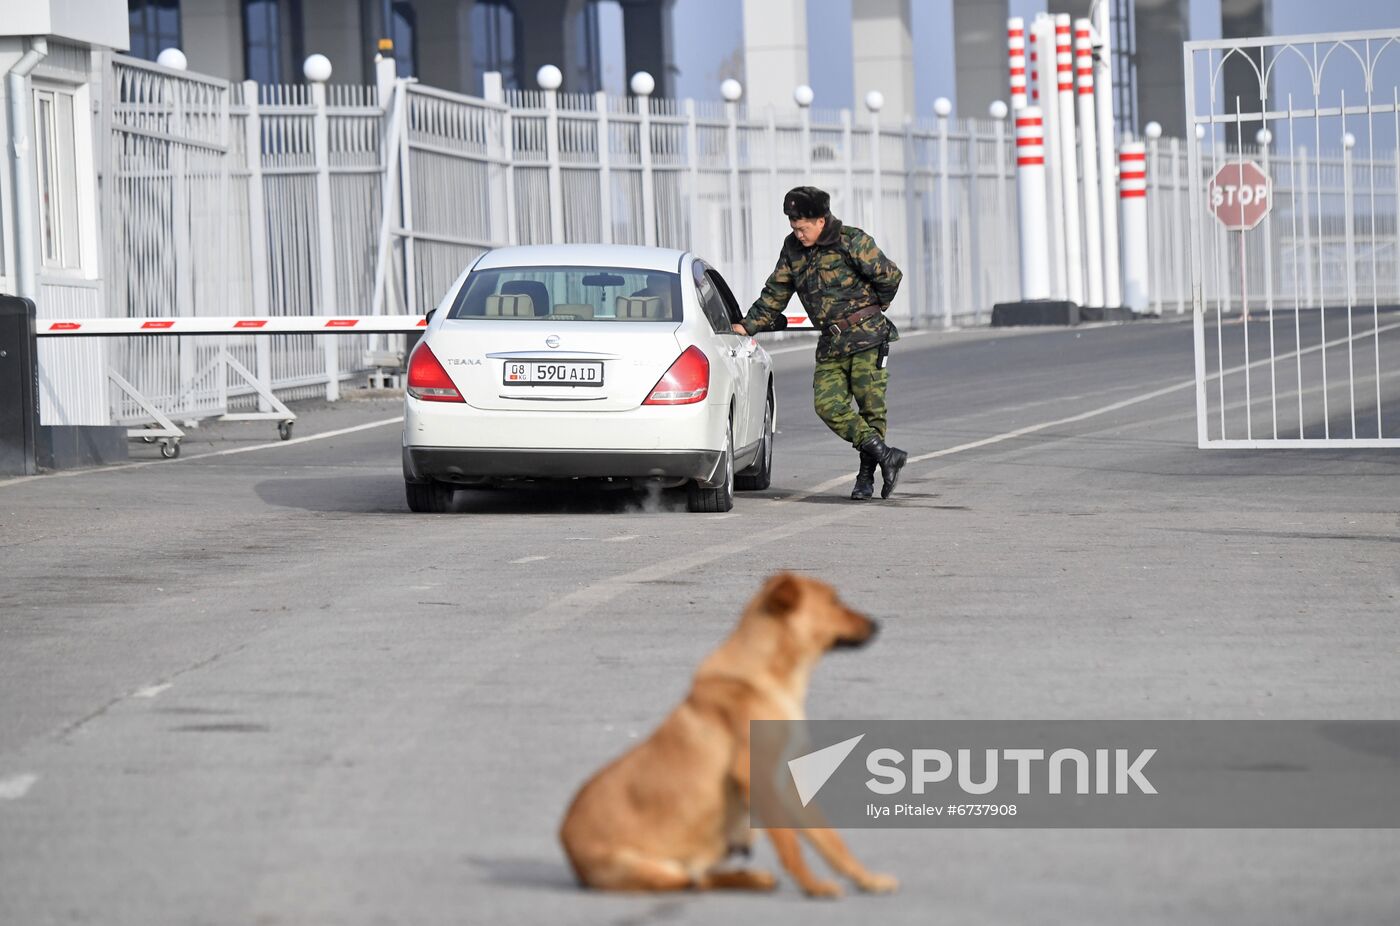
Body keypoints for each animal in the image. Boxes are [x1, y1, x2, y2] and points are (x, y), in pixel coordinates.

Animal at [557, 571, 896, 896]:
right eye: (834, 600)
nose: (877, 624)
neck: (766, 679)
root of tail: (567, 848)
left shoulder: (789, 783)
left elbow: (831, 841)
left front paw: (867, 879)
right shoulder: (756, 776)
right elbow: (790, 845)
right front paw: (813, 886)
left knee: (700, 877)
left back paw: (753, 877)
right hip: (653, 870)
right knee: (692, 882)